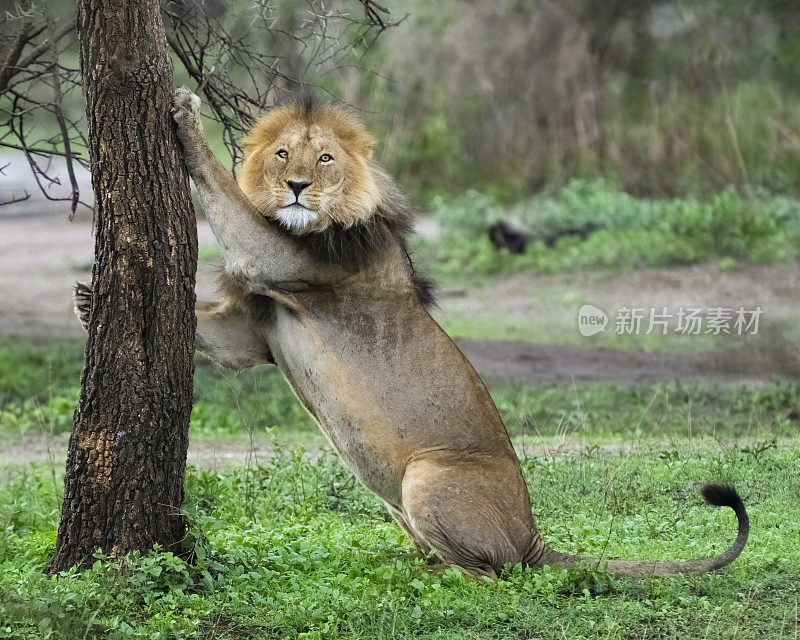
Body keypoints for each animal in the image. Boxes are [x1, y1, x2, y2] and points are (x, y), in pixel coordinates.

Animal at [75, 87, 752, 584]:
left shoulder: (291, 259)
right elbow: (215, 333)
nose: (296, 188)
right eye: (282, 155)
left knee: (493, 575)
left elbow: (227, 200)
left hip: (427, 475)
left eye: (323, 160)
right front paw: (88, 301)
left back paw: (445, 577)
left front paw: (188, 122)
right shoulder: (254, 329)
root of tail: (531, 537)